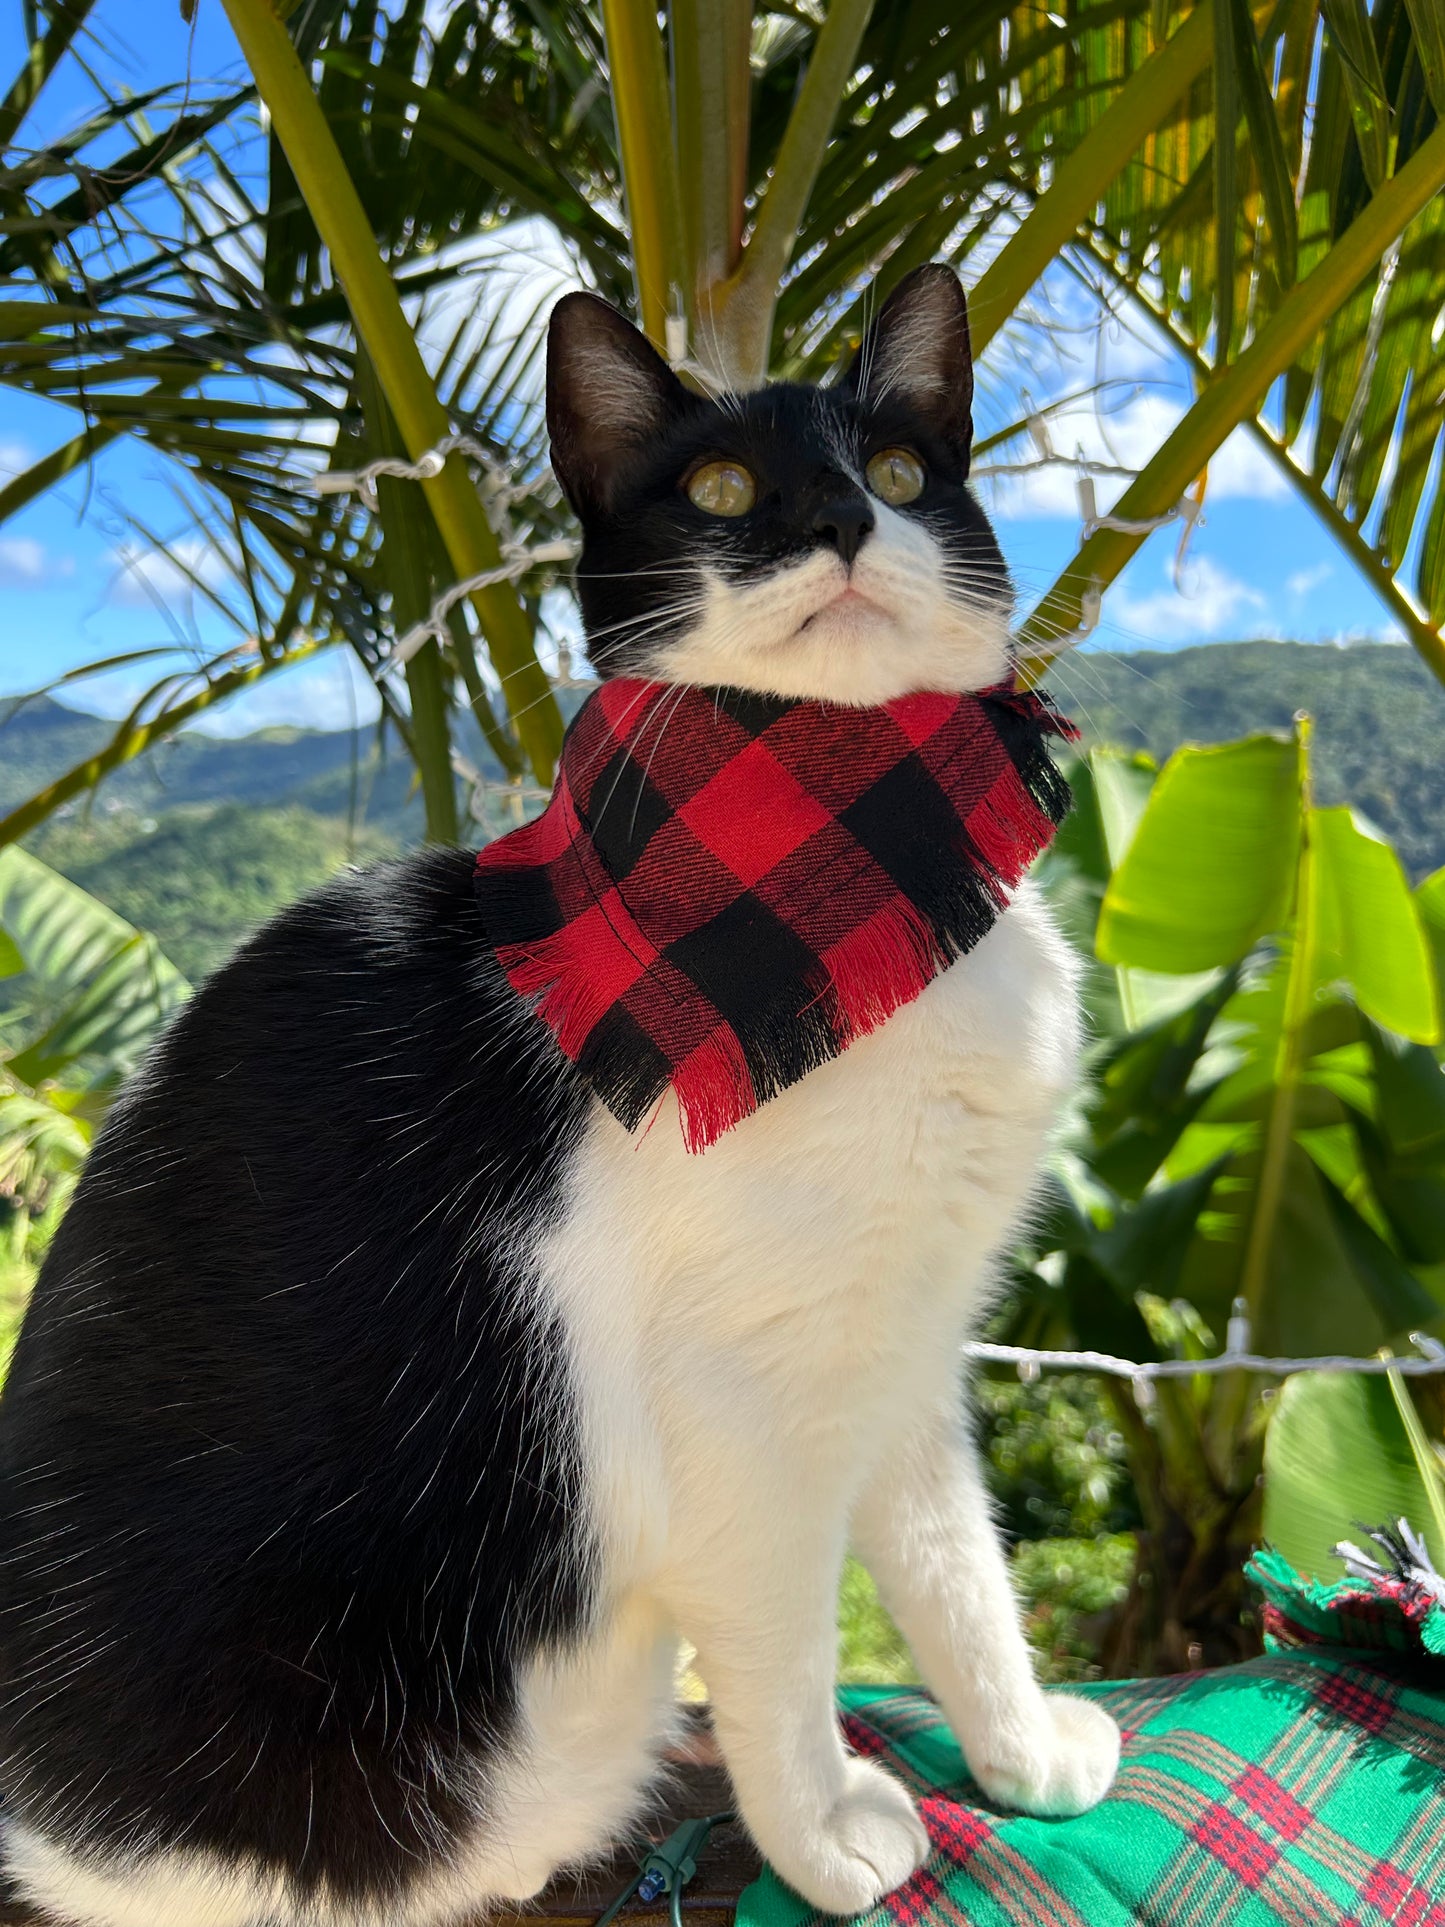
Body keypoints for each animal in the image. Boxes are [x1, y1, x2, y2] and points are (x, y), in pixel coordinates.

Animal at [0, 267, 1117, 1927]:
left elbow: (952, 1562)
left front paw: (1023, 1748)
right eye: (721, 490)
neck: (851, 880)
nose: (843, 519)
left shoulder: (902, 1330)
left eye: (906, 472)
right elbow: (783, 1645)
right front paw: (825, 1831)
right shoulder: (740, 1395)